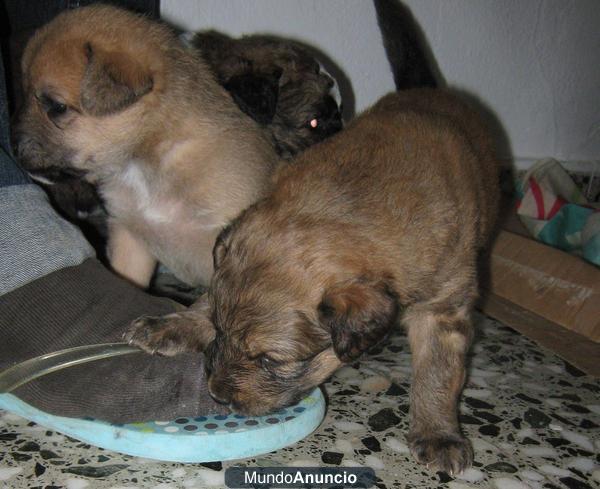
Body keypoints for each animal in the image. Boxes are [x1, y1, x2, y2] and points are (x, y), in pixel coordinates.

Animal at [127, 87, 502, 472]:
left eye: (270, 361)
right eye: (218, 329)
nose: (216, 394)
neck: (353, 200)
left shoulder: (442, 308)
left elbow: (437, 372)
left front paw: (439, 435)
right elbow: (204, 304)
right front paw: (173, 325)